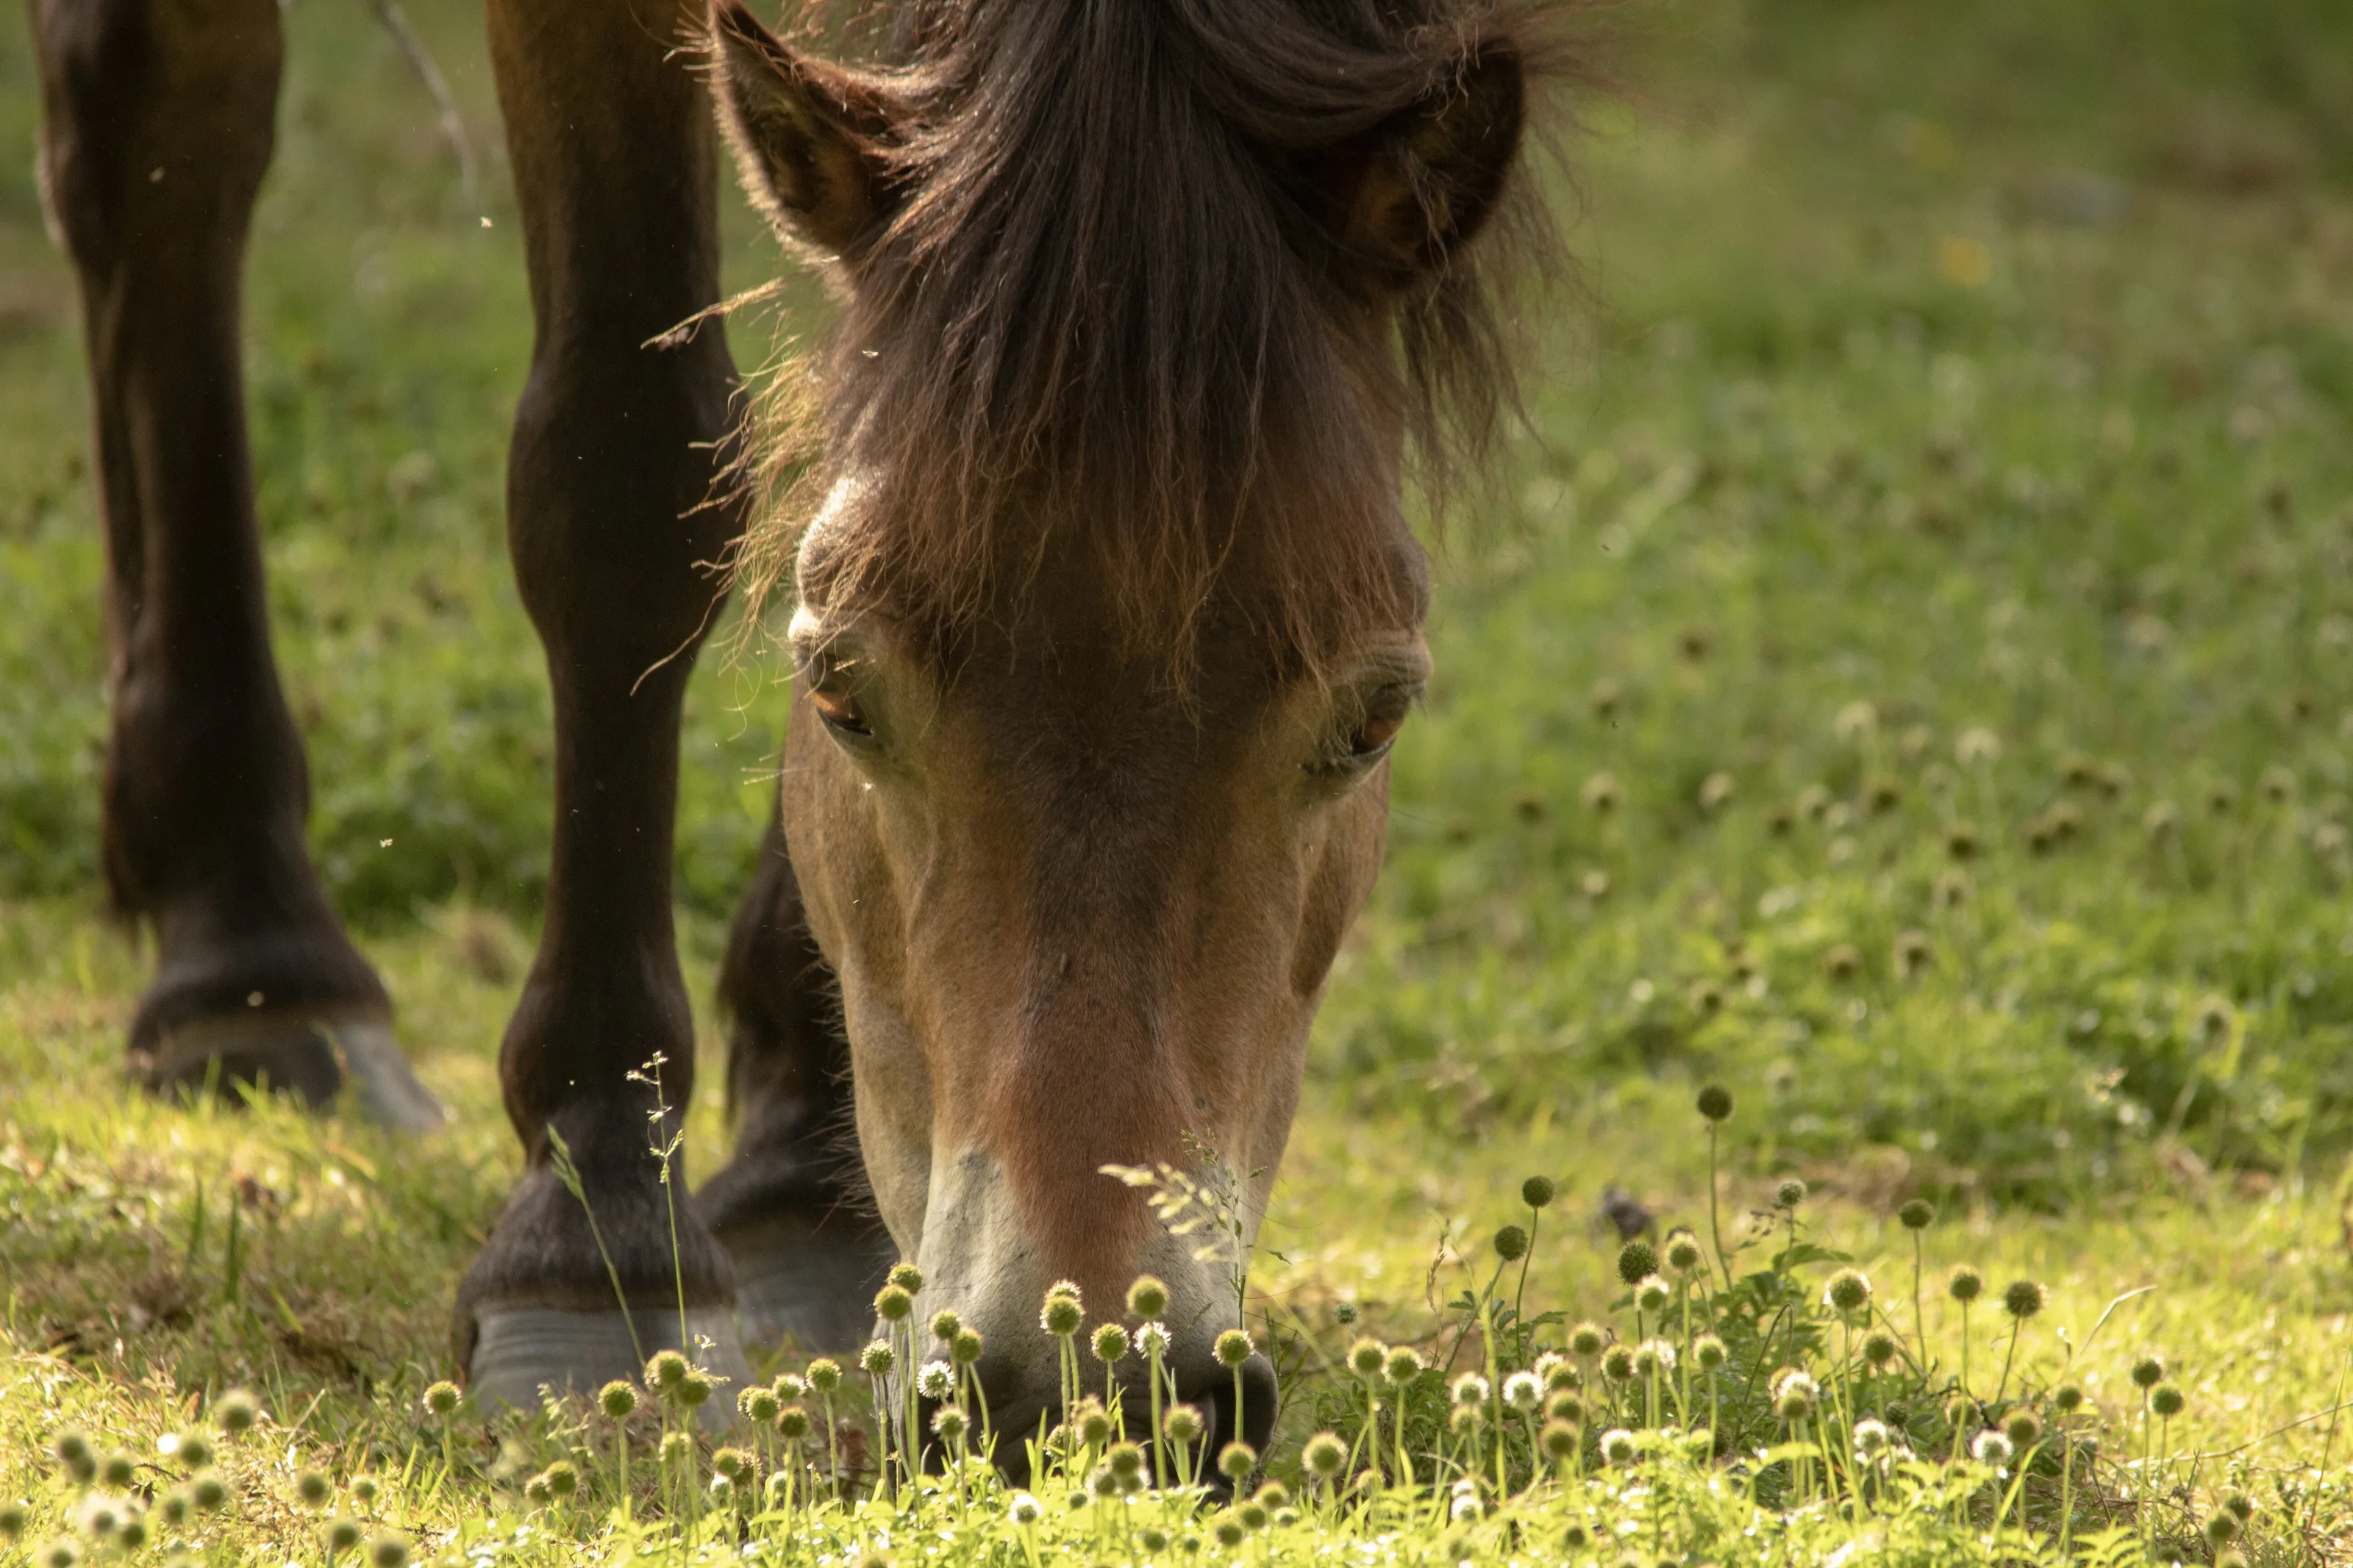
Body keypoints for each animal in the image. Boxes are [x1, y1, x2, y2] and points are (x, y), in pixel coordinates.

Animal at [29, 0, 1563, 1459]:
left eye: (1374, 717)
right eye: (838, 692)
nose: (1088, 1388)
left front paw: (798, 1178)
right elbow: (628, 467)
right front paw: (602, 1230)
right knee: (166, 124)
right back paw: (253, 956)